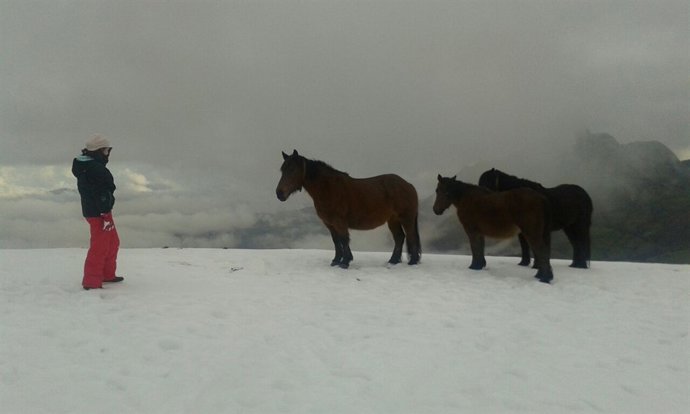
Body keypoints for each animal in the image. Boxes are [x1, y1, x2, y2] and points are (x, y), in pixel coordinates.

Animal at [276, 150, 421, 268]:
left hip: (406, 219)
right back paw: (393, 261)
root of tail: (408, 185)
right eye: (282, 170)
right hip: (393, 220)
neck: (328, 189)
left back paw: (412, 262)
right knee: (399, 237)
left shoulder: (339, 222)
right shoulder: (329, 224)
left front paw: (345, 262)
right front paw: (336, 260)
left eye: (293, 170)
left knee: (410, 236)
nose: (279, 193)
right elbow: (336, 240)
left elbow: (344, 239)